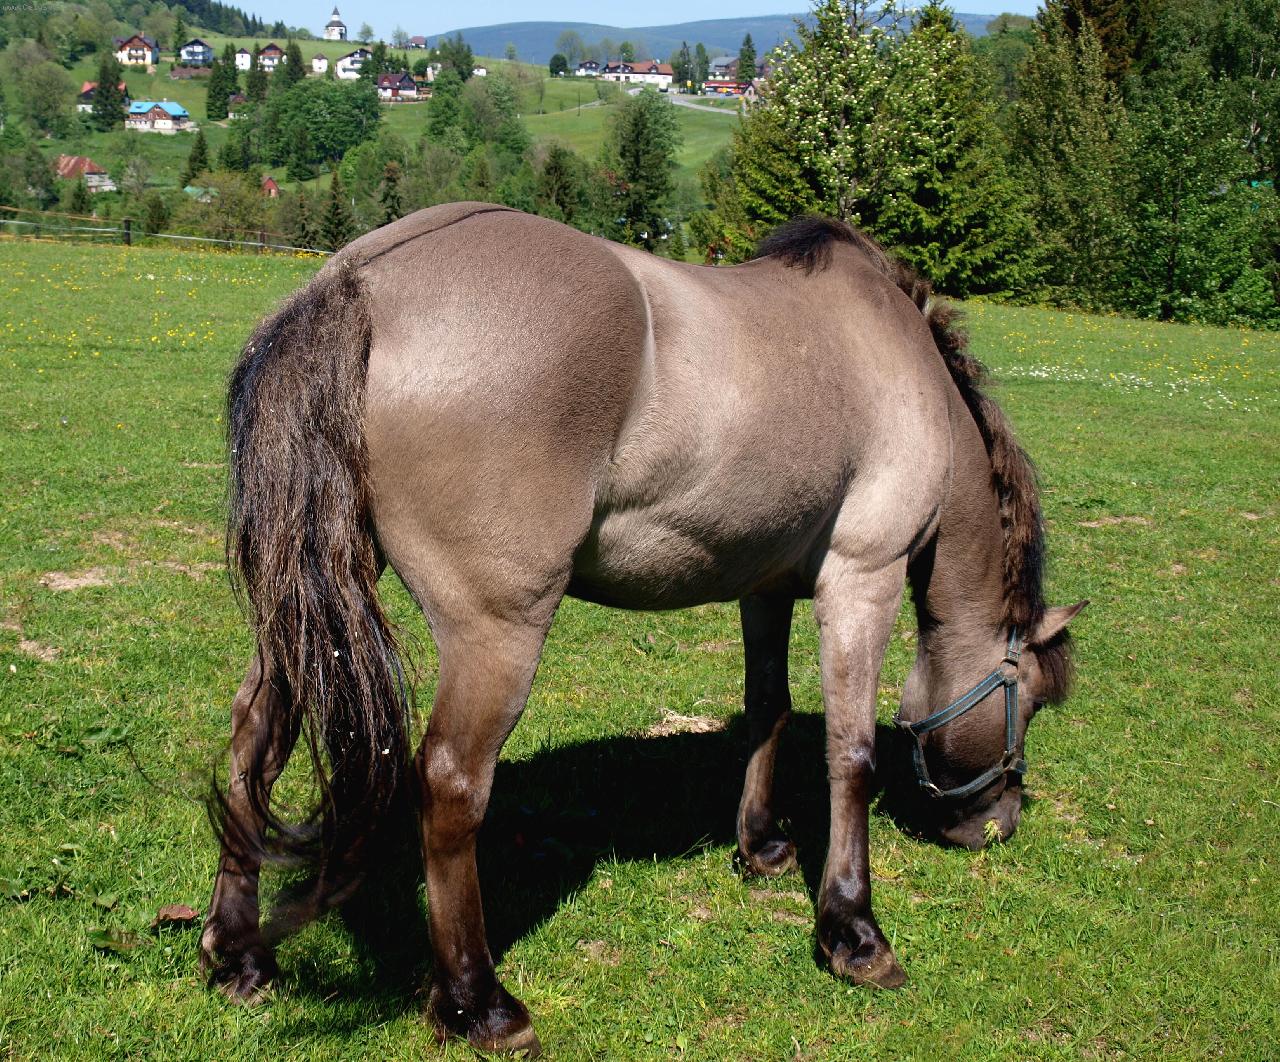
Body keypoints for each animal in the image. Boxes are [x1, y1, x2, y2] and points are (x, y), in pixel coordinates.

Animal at [201, 203, 1085, 1056]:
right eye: (1035, 702)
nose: (996, 826)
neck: (896, 358)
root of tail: (358, 281)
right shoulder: (862, 578)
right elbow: (853, 757)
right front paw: (853, 932)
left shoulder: (765, 587)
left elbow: (768, 710)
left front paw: (760, 846)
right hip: (497, 632)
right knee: (451, 782)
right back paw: (479, 1005)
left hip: (307, 608)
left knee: (252, 739)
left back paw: (237, 950)